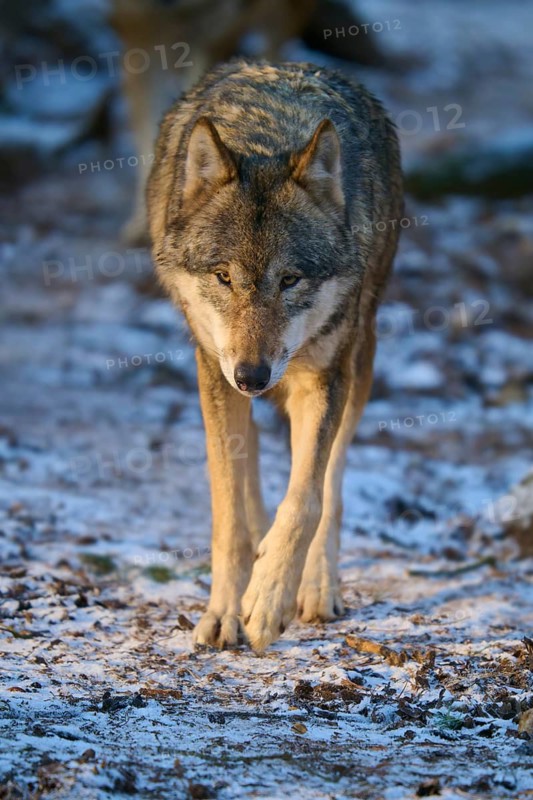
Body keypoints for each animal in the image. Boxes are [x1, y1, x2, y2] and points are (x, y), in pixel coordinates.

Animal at [147, 60, 403, 651]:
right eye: (224, 277)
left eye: (290, 280)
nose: (253, 375)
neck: (267, 138)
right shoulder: (213, 373)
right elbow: (228, 517)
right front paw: (226, 612)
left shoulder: (325, 375)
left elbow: (307, 497)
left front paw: (268, 597)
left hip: (360, 358)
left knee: (331, 483)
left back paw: (316, 587)